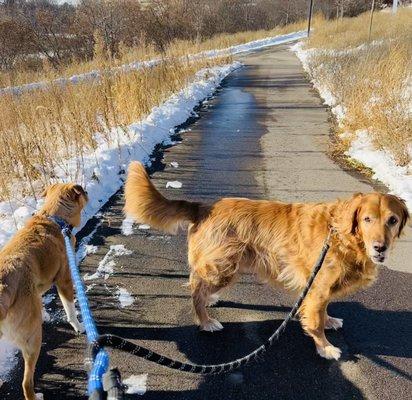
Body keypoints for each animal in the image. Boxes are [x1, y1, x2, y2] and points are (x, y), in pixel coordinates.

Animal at [0, 184, 87, 400]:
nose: (87, 192)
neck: (54, 218)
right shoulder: (65, 280)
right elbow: (70, 309)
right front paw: (78, 326)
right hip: (32, 340)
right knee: (26, 382)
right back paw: (35, 395)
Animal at [124, 161, 408, 360]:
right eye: (367, 219)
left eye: (392, 220)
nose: (380, 247)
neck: (341, 234)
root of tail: (205, 207)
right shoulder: (317, 287)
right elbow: (315, 322)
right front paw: (325, 347)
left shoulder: (320, 288)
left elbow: (323, 310)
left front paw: (329, 321)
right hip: (223, 267)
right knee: (195, 289)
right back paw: (205, 320)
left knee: (199, 284)